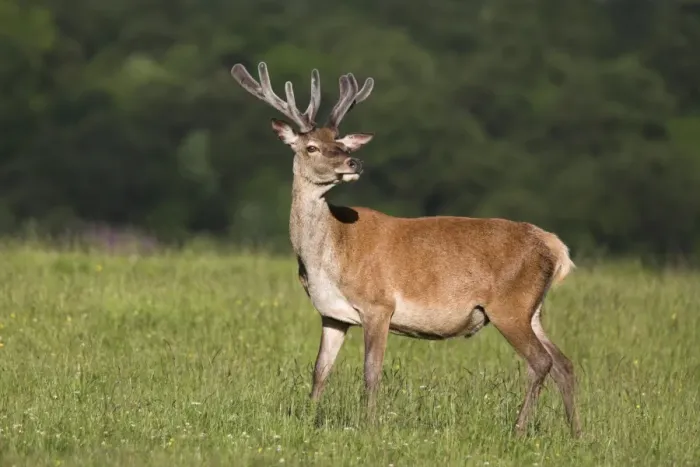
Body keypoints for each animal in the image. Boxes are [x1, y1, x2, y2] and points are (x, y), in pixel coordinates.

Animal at [230, 61, 581, 438]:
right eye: (311, 146)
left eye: (341, 144)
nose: (354, 163)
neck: (328, 256)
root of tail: (555, 248)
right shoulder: (332, 314)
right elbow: (319, 371)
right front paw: (309, 420)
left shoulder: (378, 304)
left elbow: (371, 372)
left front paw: (369, 427)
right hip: (534, 310)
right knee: (564, 363)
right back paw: (576, 433)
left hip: (510, 305)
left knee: (540, 361)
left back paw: (517, 430)